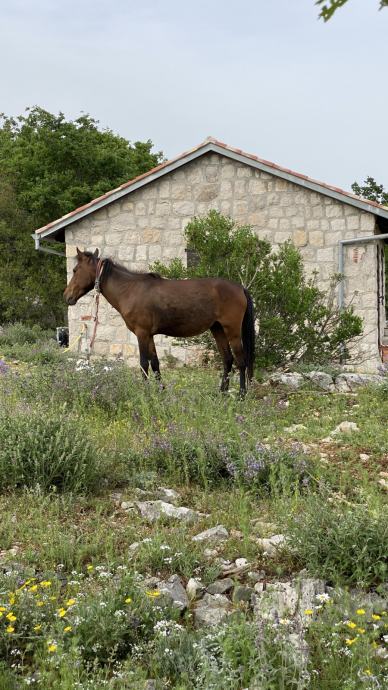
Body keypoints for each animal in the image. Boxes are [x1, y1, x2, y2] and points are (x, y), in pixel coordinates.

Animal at [64, 249, 255, 392]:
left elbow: (143, 364)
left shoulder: (141, 333)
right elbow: (155, 363)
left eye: (75, 270)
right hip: (217, 329)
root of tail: (240, 287)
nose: (67, 297)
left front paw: (146, 394)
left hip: (232, 331)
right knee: (227, 359)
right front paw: (161, 392)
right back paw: (222, 393)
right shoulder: (149, 335)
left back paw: (241, 395)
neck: (129, 289)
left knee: (241, 360)